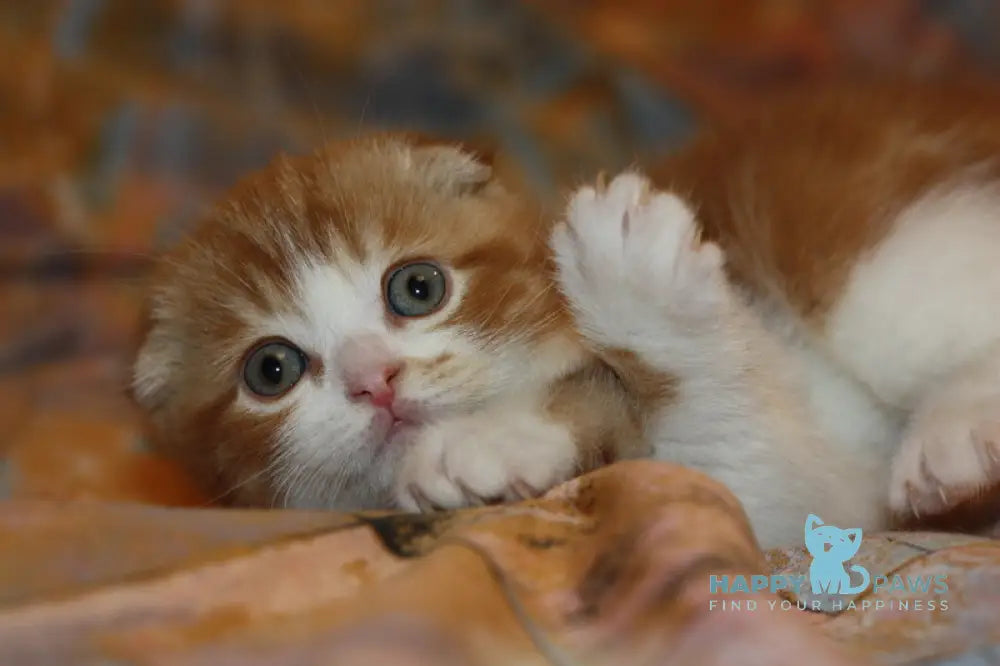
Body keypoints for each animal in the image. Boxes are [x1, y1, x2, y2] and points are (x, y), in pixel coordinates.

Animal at [132, 81, 1000, 548]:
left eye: (417, 288)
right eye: (271, 370)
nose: (374, 380)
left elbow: (742, 433)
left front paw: (639, 296)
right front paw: (485, 451)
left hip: (860, 246)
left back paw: (953, 433)